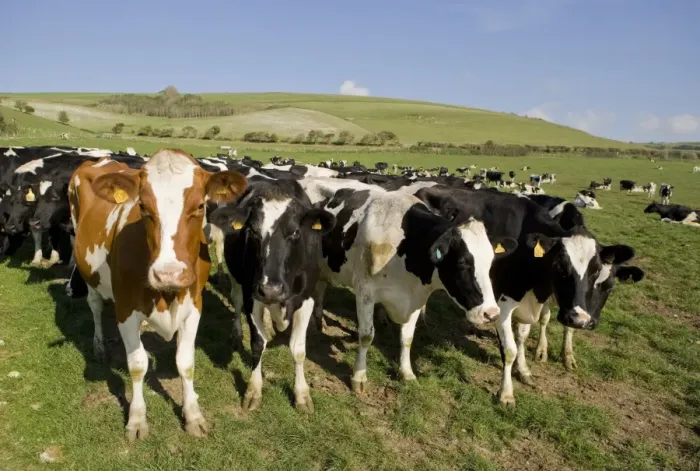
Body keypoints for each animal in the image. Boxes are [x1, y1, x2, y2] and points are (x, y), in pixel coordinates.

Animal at [70, 149, 247, 440]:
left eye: (201, 206)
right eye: (142, 207)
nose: (169, 274)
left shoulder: (194, 306)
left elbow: (185, 362)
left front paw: (193, 415)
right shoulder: (125, 309)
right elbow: (137, 364)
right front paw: (136, 419)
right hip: (88, 271)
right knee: (94, 306)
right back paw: (99, 346)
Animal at [207, 179, 336, 412]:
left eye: (295, 232)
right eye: (252, 231)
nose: (271, 290)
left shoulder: (307, 298)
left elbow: (299, 350)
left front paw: (302, 394)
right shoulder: (252, 296)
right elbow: (258, 344)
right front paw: (253, 390)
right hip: (238, 280)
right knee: (236, 301)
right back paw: (237, 334)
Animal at [299, 178, 517, 394]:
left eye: (491, 262)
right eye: (463, 262)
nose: (491, 313)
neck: (405, 243)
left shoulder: (416, 297)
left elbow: (407, 337)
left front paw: (407, 373)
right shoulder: (365, 291)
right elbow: (366, 335)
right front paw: (359, 377)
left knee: (320, 289)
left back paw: (320, 321)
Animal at [412, 186, 640, 405]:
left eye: (596, 272)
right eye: (559, 266)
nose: (581, 320)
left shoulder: (531, 299)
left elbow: (523, 335)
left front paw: (525, 370)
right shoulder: (502, 305)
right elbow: (509, 349)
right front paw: (506, 394)